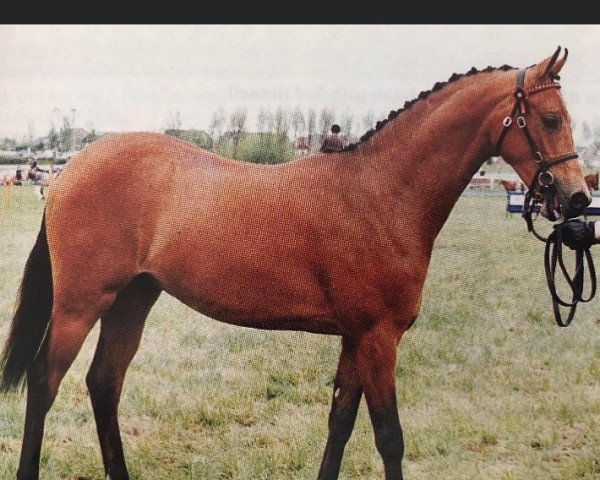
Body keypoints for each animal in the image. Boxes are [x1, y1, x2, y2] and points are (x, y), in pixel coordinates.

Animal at [0, 47, 592, 480]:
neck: (379, 192)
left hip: (132, 299)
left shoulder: (357, 337)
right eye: (550, 118)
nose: (579, 199)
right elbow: (389, 436)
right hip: (80, 304)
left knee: (104, 383)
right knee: (44, 382)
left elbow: (340, 422)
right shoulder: (379, 337)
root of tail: (69, 169)